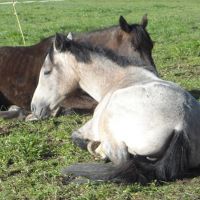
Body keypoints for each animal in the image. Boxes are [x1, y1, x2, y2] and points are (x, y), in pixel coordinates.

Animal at [31, 33, 200, 184]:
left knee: (121, 161)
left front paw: (95, 148)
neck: (118, 81)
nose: (34, 108)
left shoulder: (91, 127)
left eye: (46, 72)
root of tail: (181, 124)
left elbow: (76, 137)